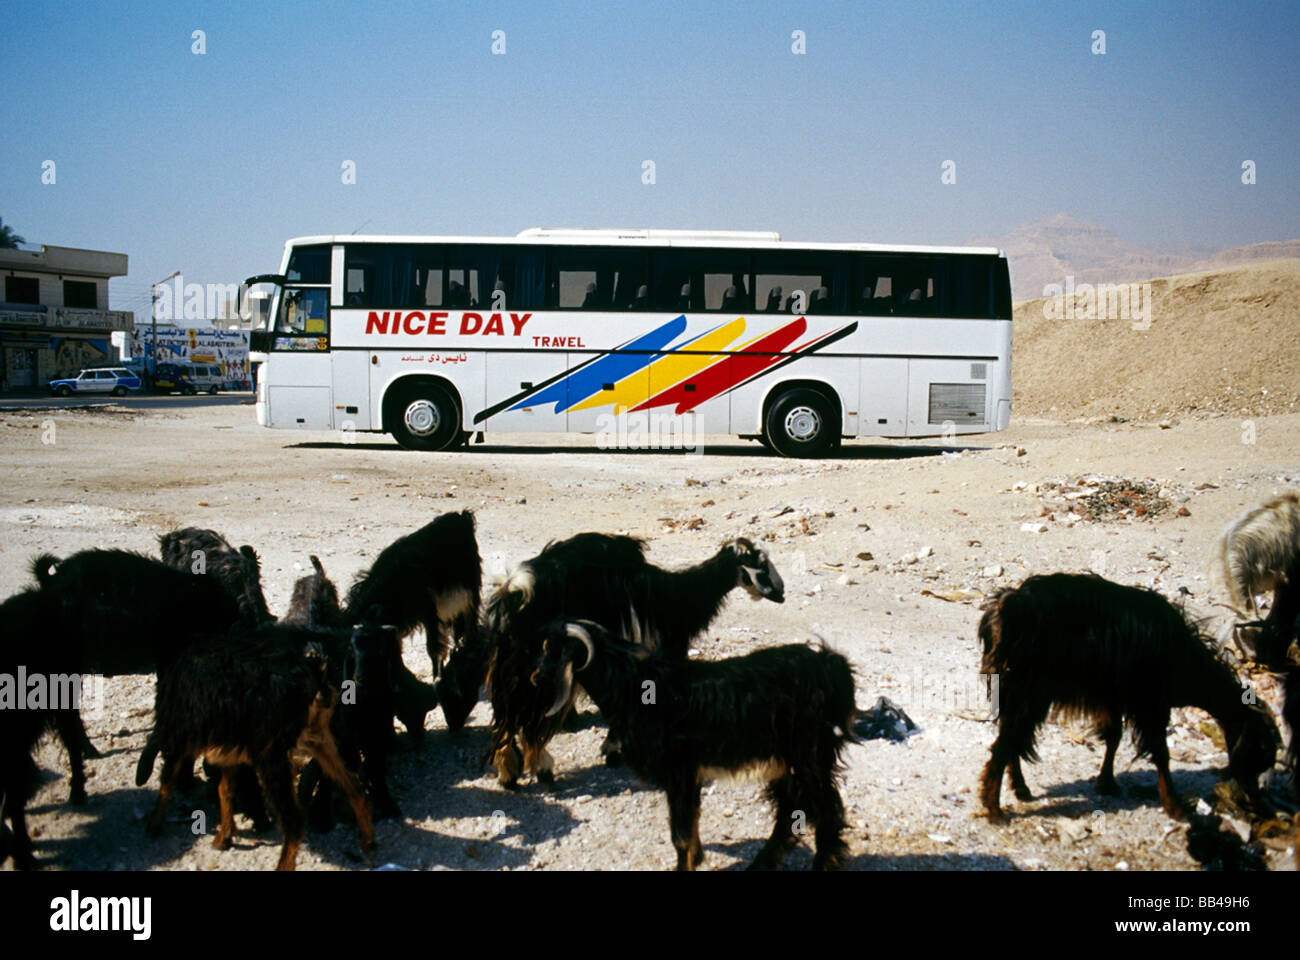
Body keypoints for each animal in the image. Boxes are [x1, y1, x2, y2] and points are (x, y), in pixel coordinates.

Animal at [148, 621, 379, 868]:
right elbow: (225, 788)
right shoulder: (228, 746)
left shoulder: (178, 732)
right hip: (317, 737)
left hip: (271, 752)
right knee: (354, 788)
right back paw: (369, 843)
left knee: (294, 821)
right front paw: (224, 837)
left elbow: (168, 779)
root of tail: (314, 671)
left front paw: (154, 825)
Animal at [343, 509, 486, 733]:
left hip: (469, 595)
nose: (359, 680)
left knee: (464, 631)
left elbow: (433, 648)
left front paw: (437, 679)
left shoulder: (429, 612)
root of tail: (462, 516)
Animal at [480, 530, 774, 785]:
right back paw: (541, 770)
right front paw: (613, 749)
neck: (676, 598)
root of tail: (515, 591)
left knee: (506, 717)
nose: (779, 594)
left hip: (512, 667)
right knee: (526, 721)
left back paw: (509, 773)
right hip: (539, 667)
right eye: (761, 566)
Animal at [530, 616, 852, 868]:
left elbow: (681, 836)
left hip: (810, 757)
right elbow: (690, 825)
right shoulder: (688, 777)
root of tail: (831, 664)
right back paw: (760, 864)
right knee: (790, 813)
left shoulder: (680, 772)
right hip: (786, 763)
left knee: (827, 811)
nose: (535, 677)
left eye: (551, 650)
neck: (631, 686)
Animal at [977, 572, 1274, 816]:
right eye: (1260, 749)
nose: (1257, 799)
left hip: (1014, 691)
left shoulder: (1113, 698)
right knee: (1005, 744)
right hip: (1030, 694)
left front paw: (1106, 782)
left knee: (1011, 739)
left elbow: (1114, 737)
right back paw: (994, 809)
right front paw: (1175, 806)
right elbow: (1160, 752)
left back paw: (1020, 789)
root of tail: (1010, 604)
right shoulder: (1150, 705)